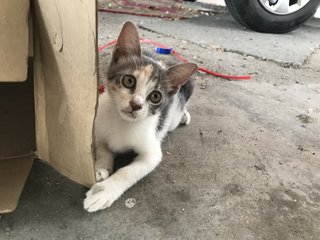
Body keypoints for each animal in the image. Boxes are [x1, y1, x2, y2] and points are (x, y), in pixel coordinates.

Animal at [83, 20, 198, 212]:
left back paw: (184, 115)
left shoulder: (151, 153)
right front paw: (100, 167)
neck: (122, 122)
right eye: (129, 81)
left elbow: (128, 172)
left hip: (173, 117)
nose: (135, 105)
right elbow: (103, 148)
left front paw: (104, 191)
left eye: (155, 96)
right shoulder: (98, 129)